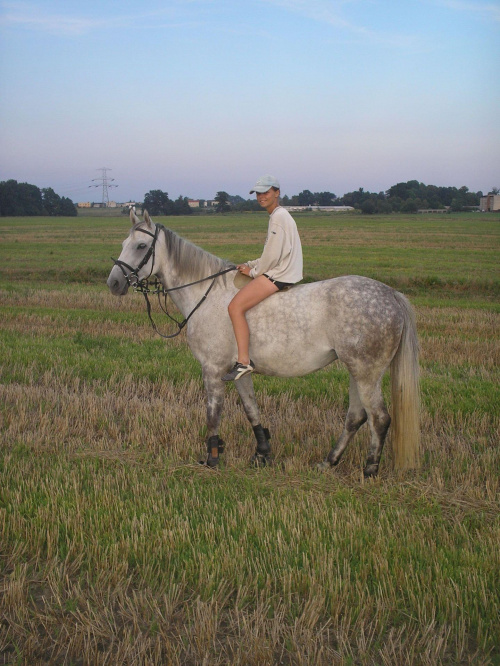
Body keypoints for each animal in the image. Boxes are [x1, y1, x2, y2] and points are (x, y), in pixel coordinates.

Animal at [107, 210, 420, 474]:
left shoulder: (212, 369)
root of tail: (391, 294)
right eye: (124, 242)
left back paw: (369, 470)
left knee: (379, 418)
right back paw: (328, 462)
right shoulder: (237, 371)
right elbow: (251, 409)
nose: (113, 283)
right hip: (356, 370)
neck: (206, 293)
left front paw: (212, 459)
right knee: (356, 416)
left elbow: (213, 415)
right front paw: (262, 453)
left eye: (140, 246)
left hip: (366, 372)